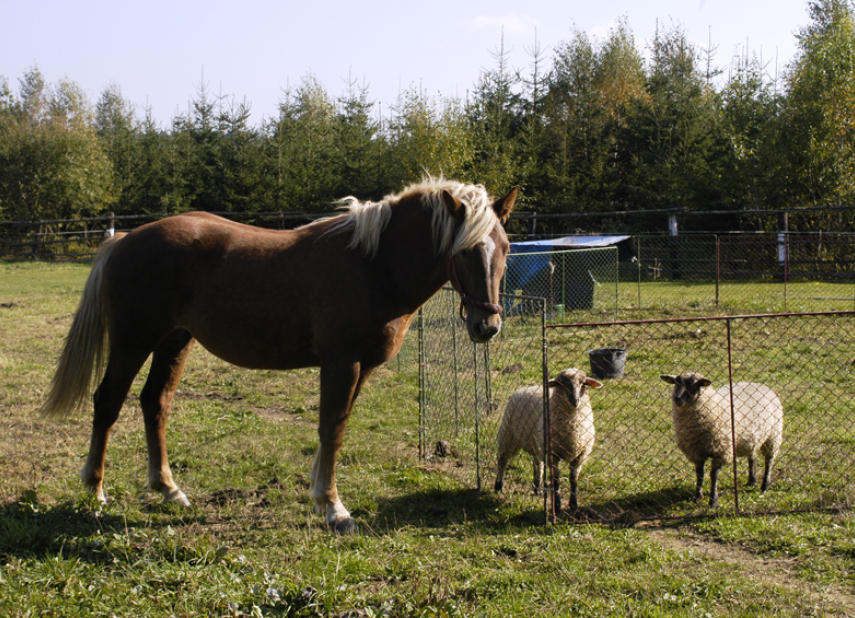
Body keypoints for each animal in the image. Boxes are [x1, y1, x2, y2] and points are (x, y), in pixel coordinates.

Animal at [41, 177, 516, 528]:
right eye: (464, 250)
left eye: (506, 247)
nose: (486, 326)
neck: (374, 265)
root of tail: (123, 238)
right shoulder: (342, 363)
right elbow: (331, 429)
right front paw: (333, 508)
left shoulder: (359, 368)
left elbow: (336, 428)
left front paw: (321, 495)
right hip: (133, 340)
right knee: (108, 402)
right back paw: (95, 490)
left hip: (174, 341)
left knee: (155, 402)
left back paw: (168, 489)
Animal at [494, 368, 600, 508]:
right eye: (560, 383)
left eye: (583, 383)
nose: (575, 400)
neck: (572, 425)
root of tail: (528, 387)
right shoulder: (553, 454)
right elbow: (556, 481)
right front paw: (557, 505)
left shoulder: (580, 455)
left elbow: (573, 479)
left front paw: (573, 503)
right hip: (508, 435)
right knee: (502, 460)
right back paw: (498, 486)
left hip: (536, 442)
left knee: (537, 463)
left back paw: (537, 488)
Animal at [660, 370, 784, 506]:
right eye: (675, 382)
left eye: (694, 383)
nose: (677, 399)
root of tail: (759, 384)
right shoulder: (696, 451)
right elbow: (699, 474)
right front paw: (697, 497)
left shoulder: (720, 450)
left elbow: (713, 475)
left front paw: (713, 501)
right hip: (751, 438)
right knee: (752, 456)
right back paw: (752, 481)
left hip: (773, 436)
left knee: (769, 460)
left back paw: (765, 485)